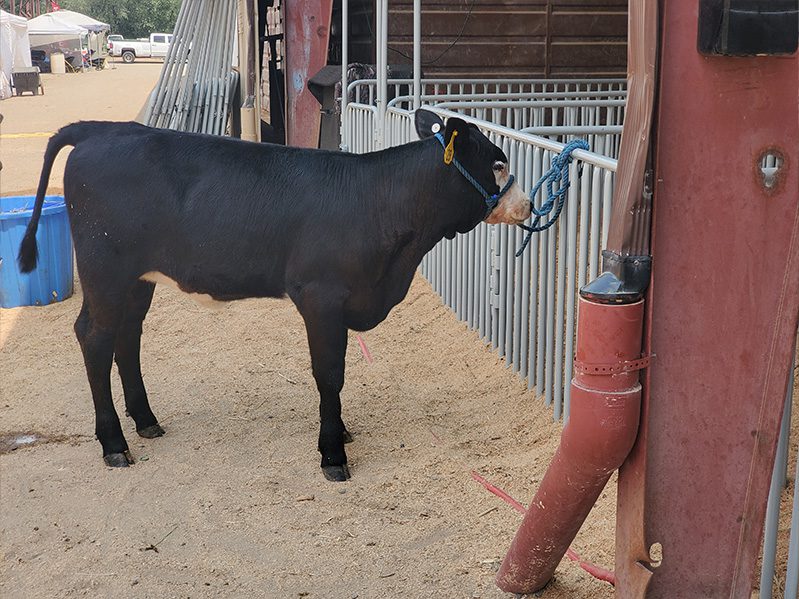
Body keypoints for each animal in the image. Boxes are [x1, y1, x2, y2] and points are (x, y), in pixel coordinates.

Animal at [18, 109, 530, 481]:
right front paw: (332, 454)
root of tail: (101, 129)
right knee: (95, 338)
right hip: (105, 272)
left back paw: (145, 420)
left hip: (136, 279)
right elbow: (330, 375)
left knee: (127, 336)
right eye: (498, 162)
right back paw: (114, 444)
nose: (527, 204)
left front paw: (341, 433)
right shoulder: (321, 298)